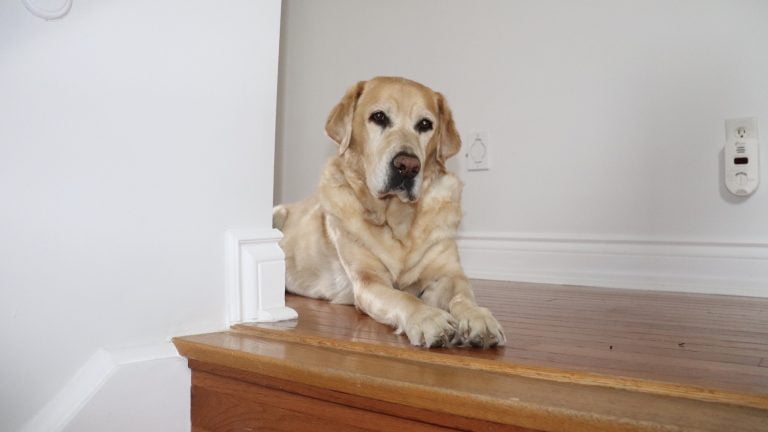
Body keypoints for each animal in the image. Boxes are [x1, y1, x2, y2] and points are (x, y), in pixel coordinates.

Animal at [274, 77, 504, 348]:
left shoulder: (448, 273)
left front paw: (479, 317)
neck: (398, 219)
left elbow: (463, 294)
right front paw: (428, 318)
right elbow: (404, 298)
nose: (408, 166)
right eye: (379, 117)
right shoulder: (369, 281)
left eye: (425, 124)